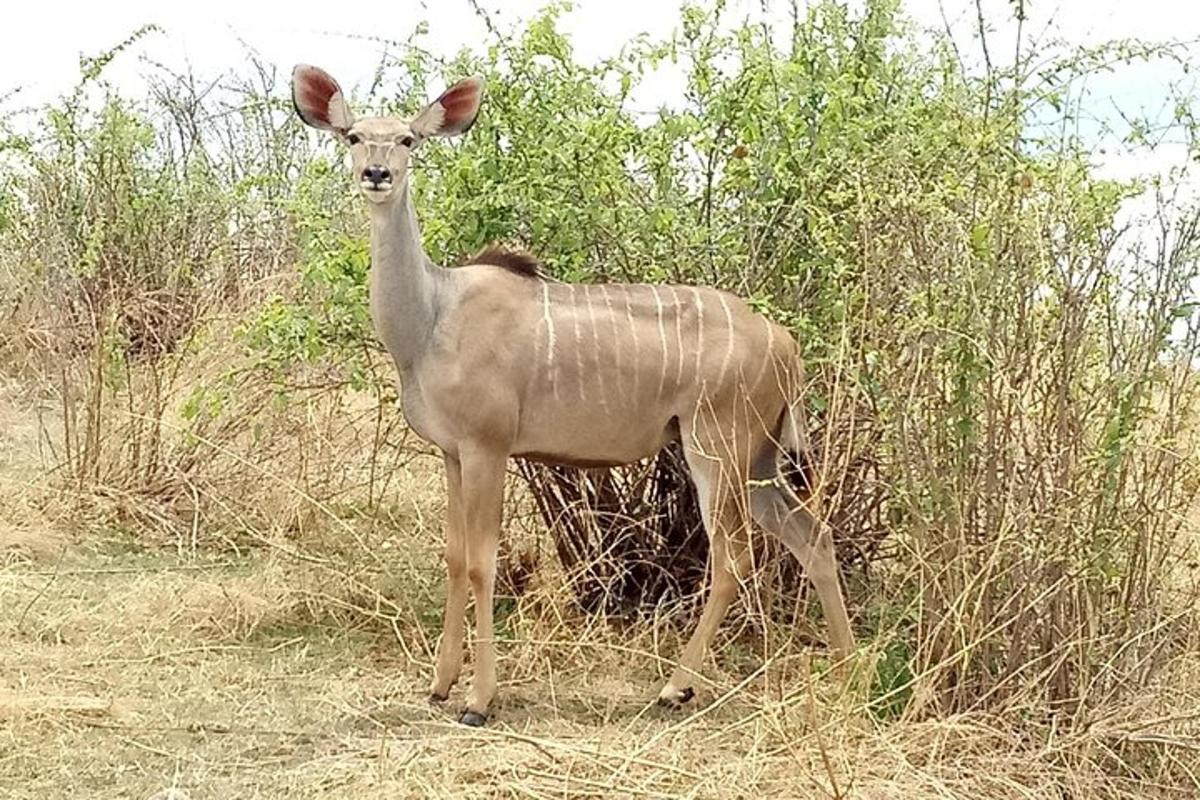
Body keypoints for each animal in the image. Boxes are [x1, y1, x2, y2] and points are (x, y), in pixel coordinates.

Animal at [290, 67, 854, 724]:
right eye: (354, 136)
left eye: (408, 140)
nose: (376, 174)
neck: (432, 315)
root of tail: (785, 342)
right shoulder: (452, 453)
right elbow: (454, 557)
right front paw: (439, 684)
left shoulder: (488, 447)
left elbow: (482, 562)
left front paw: (478, 700)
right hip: (758, 459)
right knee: (812, 535)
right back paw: (850, 671)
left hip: (716, 447)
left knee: (734, 556)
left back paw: (675, 687)